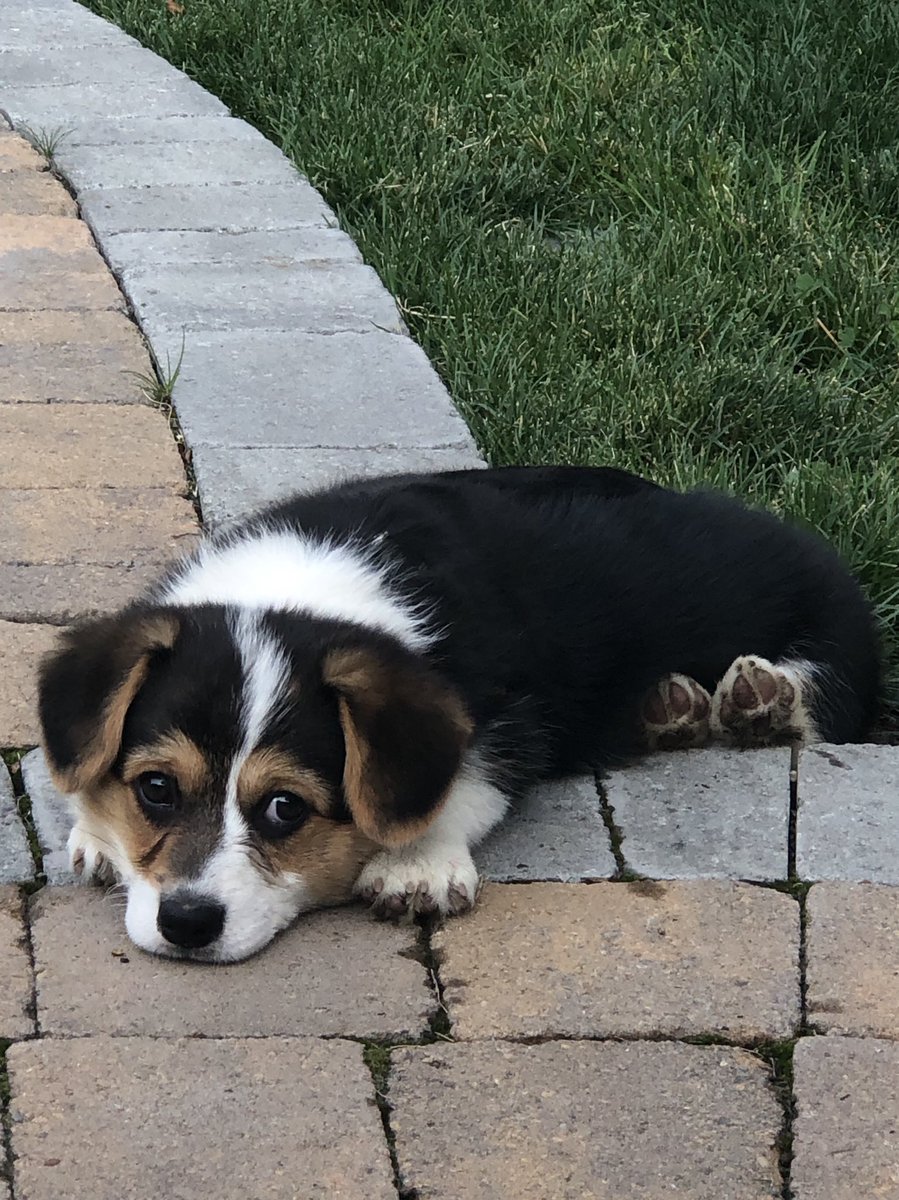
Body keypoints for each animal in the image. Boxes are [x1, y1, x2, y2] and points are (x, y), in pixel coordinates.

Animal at [36, 463, 878, 960]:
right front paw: (99, 834)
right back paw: (671, 707)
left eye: (285, 809)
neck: (305, 588)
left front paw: (415, 867)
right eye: (156, 789)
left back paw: (760, 699)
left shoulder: (508, 721)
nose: (186, 925)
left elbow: (461, 782)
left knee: (839, 678)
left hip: (807, 589)